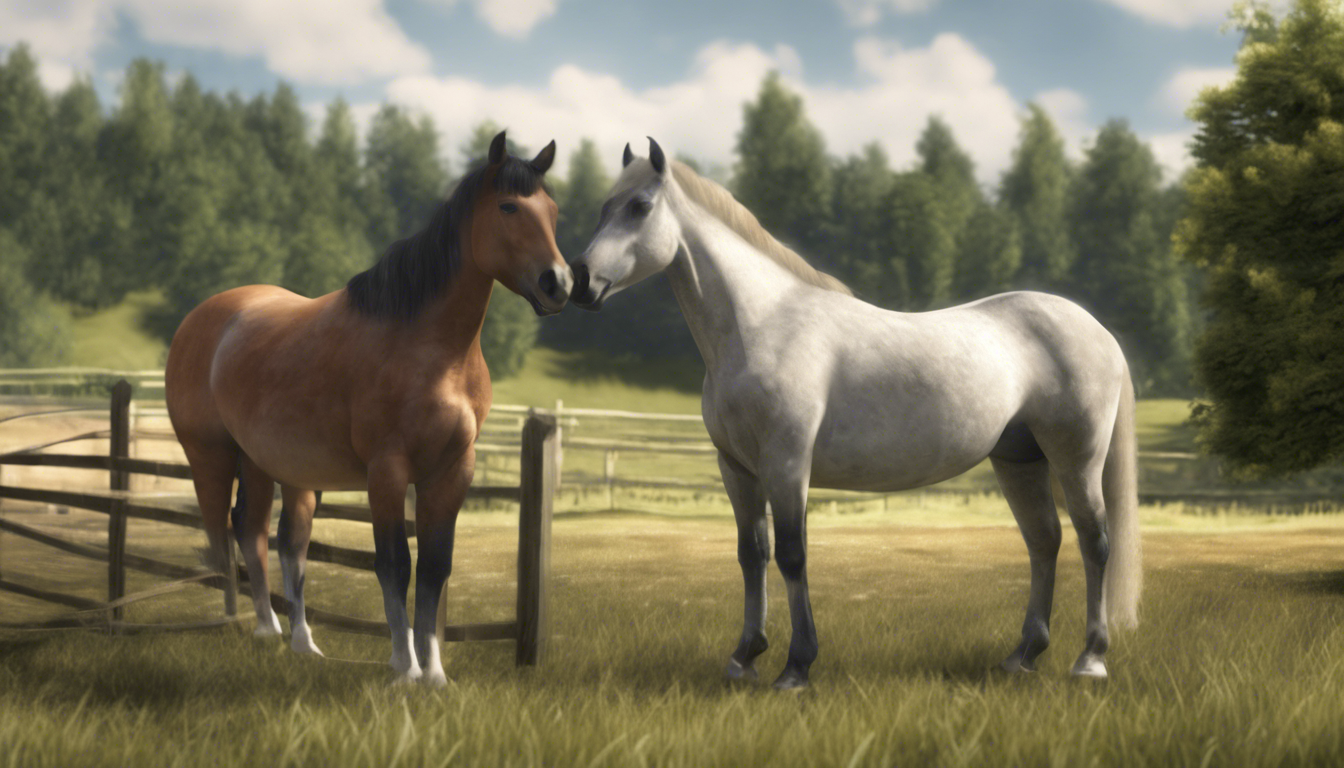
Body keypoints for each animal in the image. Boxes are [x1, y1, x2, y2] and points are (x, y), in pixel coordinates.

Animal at [165, 131, 571, 685]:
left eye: (552, 211)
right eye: (509, 206)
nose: (560, 284)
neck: (430, 348)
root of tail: (202, 318)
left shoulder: (452, 471)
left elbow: (435, 568)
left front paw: (435, 673)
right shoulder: (387, 470)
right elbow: (394, 564)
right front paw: (405, 668)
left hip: (278, 467)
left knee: (275, 539)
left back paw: (296, 641)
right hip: (211, 457)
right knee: (220, 533)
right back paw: (243, 626)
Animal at [569, 139, 1141, 689]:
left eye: (640, 206)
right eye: (604, 208)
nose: (579, 281)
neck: (762, 325)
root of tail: (1099, 331)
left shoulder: (787, 464)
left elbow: (792, 554)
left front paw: (796, 668)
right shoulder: (736, 469)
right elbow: (751, 554)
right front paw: (744, 658)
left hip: (1077, 459)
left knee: (1095, 542)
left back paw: (1090, 660)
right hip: (1019, 460)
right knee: (1045, 541)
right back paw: (1022, 656)